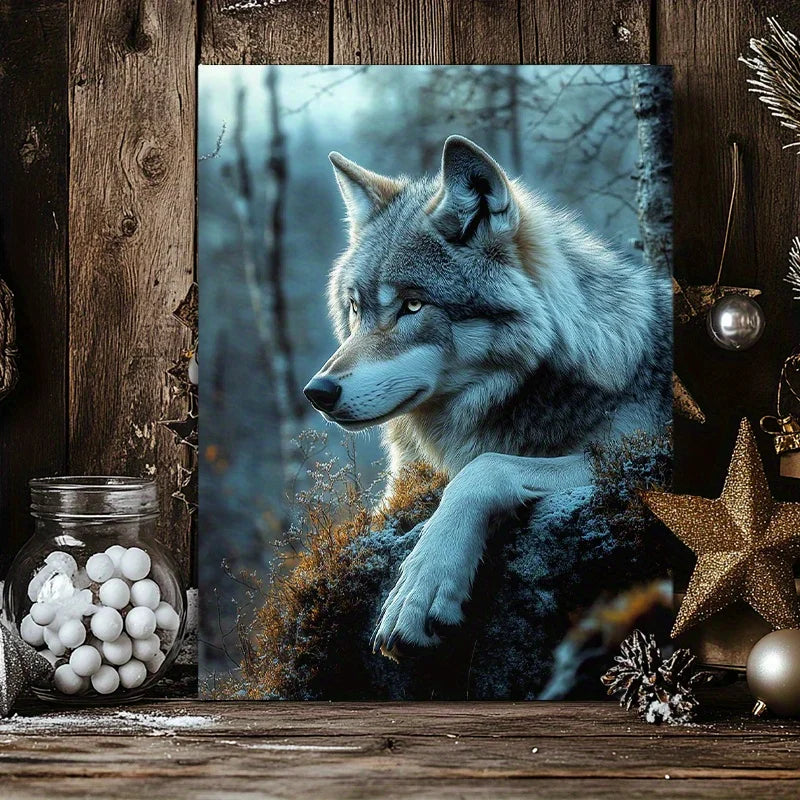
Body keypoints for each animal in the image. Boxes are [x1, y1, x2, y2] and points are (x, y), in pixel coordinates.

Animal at [304, 135, 672, 658]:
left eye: (412, 305)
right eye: (356, 308)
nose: (318, 391)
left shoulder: (644, 452)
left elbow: (483, 469)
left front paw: (422, 586)